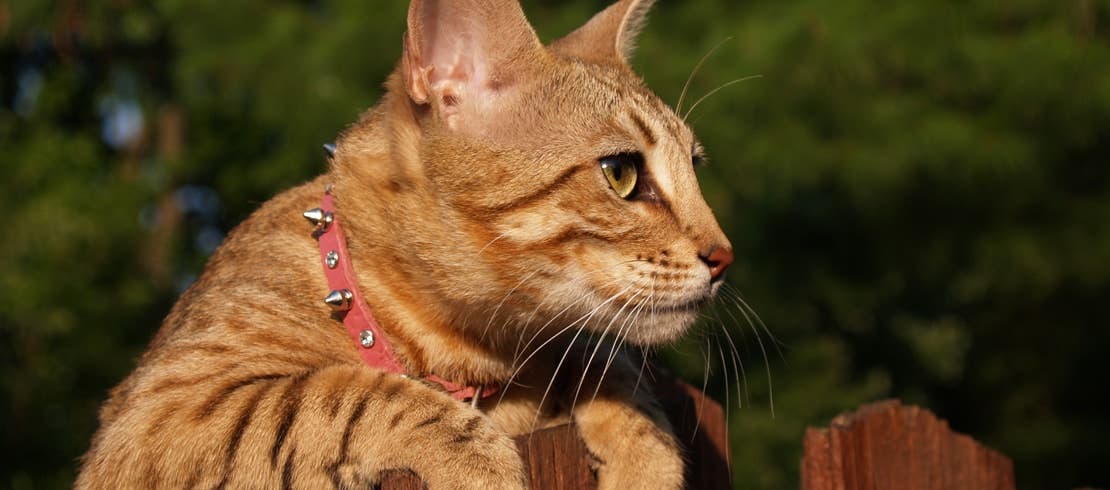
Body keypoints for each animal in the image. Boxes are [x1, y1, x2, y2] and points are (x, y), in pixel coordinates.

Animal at [80, 1, 737, 486]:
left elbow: (605, 357)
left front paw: (643, 446)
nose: (724, 256)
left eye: (696, 166)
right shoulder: (156, 419)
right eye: (621, 173)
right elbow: (336, 394)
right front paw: (481, 460)